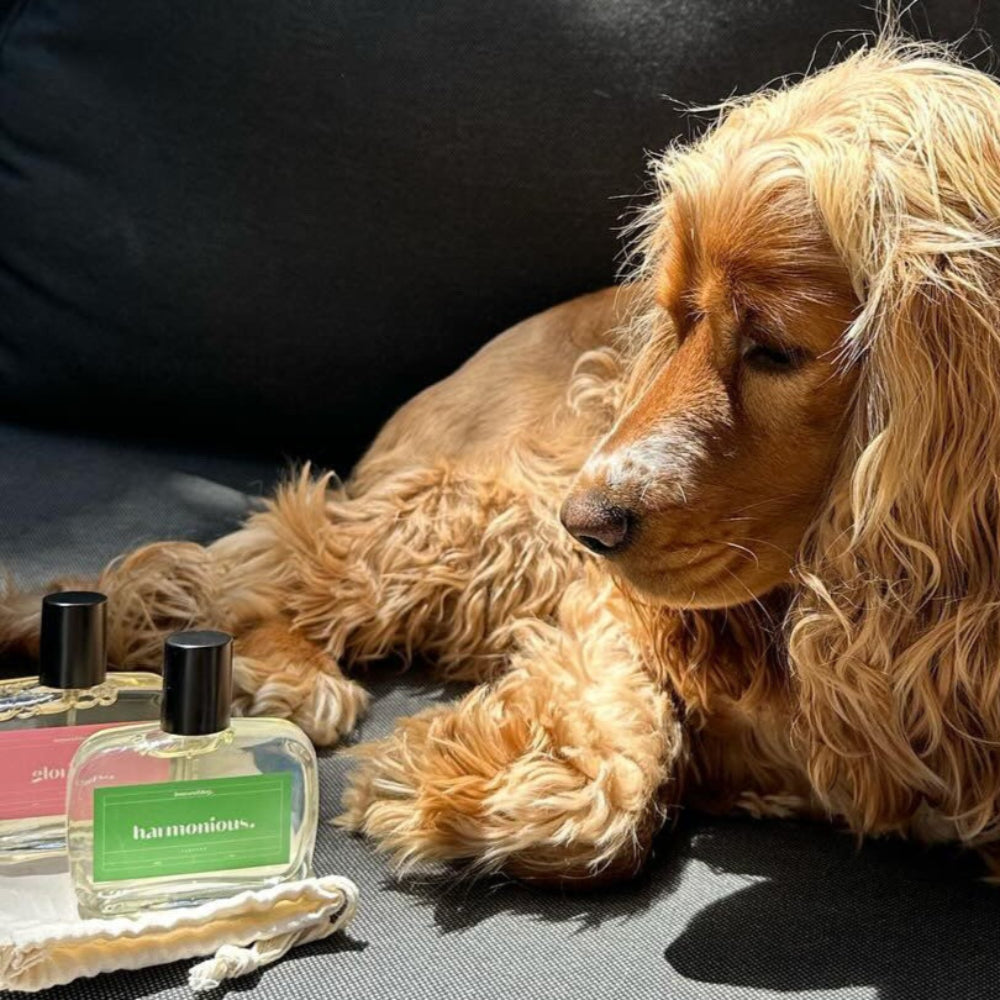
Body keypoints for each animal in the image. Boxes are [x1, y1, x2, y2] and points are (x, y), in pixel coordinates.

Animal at [5, 37, 1000, 884]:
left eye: (777, 350)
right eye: (673, 317)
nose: (587, 523)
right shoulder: (602, 597)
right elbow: (615, 758)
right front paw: (460, 784)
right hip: (475, 517)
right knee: (257, 553)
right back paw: (275, 671)